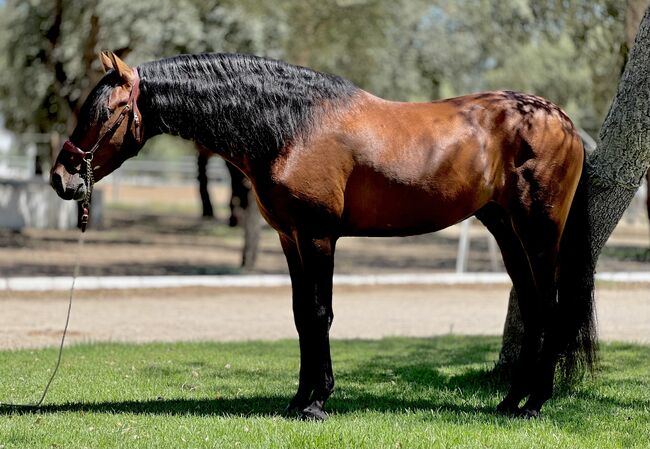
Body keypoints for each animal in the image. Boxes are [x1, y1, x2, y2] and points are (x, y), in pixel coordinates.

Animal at [50, 52, 596, 420]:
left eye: (103, 113)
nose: (61, 179)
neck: (292, 126)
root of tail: (560, 120)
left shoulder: (318, 237)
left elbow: (319, 314)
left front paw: (318, 401)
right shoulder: (290, 238)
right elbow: (300, 317)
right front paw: (299, 399)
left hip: (540, 233)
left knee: (551, 308)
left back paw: (534, 404)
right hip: (506, 230)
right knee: (532, 307)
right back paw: (511, 400)